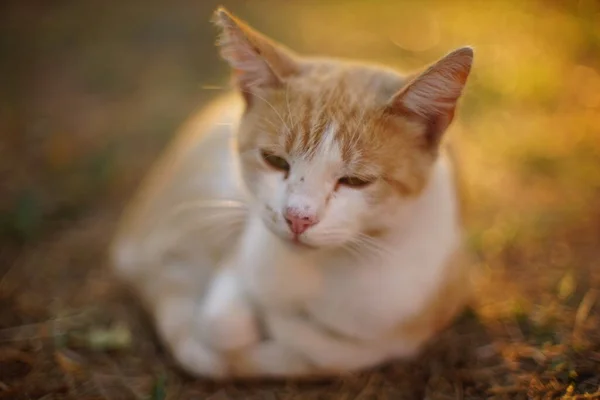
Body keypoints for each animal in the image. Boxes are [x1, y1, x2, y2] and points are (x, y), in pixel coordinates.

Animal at [110, 7, 476, 380]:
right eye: (274, 161)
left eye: (356, 180)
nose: (298, 218)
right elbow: (222, 326)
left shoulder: (422, 311)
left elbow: (331, 349)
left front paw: (283, 334)